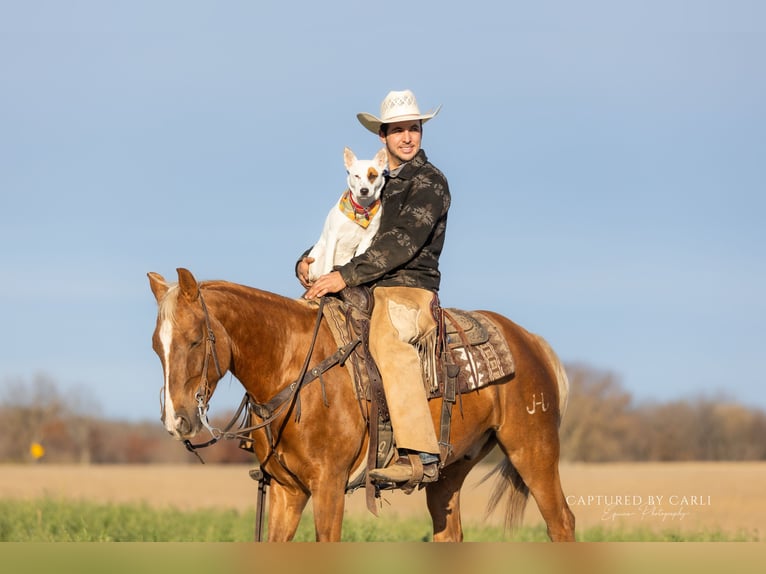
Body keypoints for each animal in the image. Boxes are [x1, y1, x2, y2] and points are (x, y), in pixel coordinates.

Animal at [147, 268, 575, 542]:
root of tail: (531, 341)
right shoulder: (287, 490)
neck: (293, 365)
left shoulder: (329, 485)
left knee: (562, 523)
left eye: (195, 340)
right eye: (156, 346)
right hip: (450, 472)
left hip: (532, 450)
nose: (177, 422)